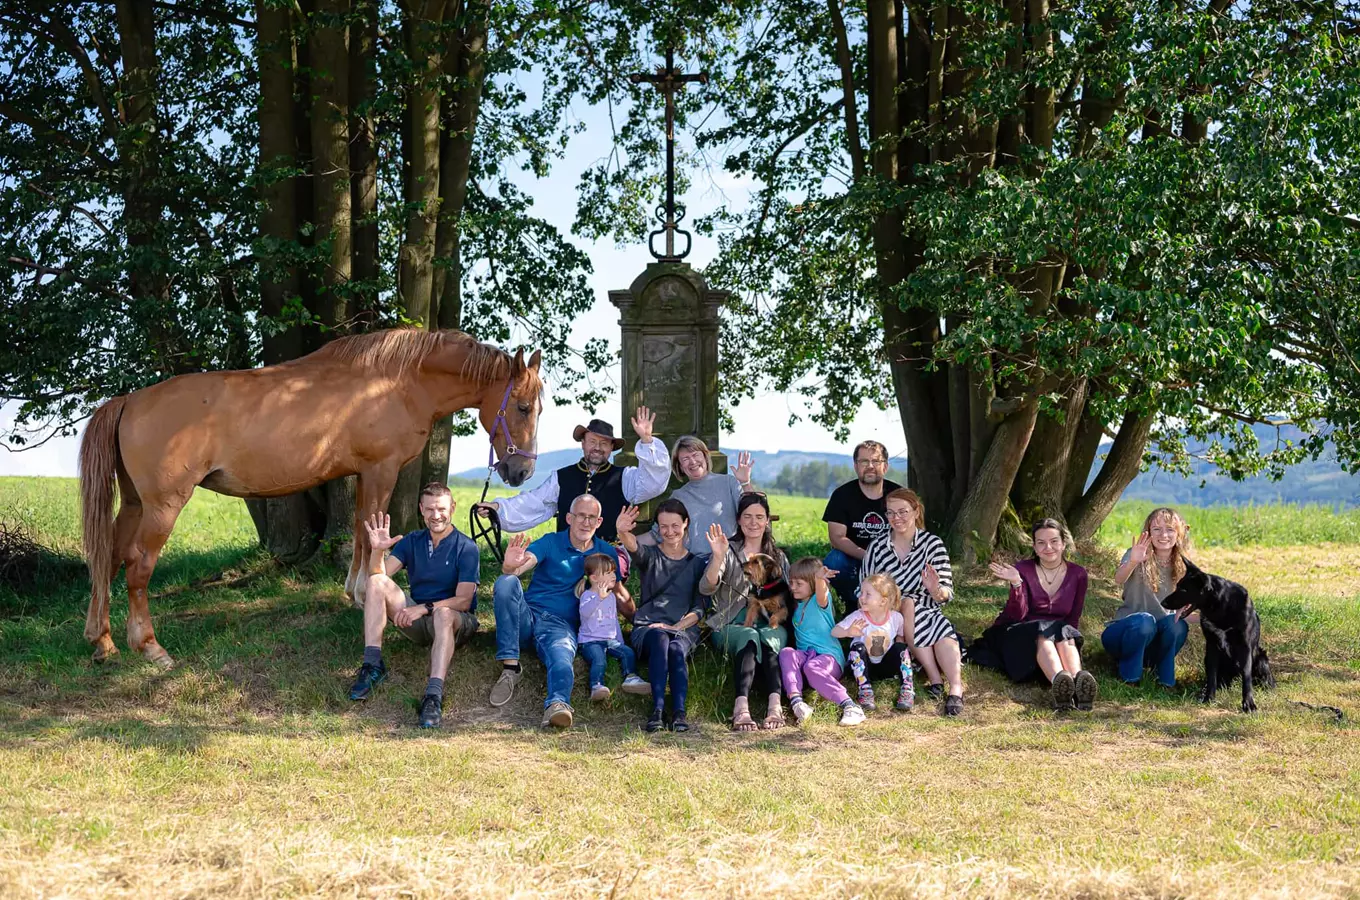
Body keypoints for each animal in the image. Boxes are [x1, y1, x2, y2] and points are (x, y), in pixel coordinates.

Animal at [79, 327, 541, 666]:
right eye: (521, 407)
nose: (521, 472)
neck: (396, 382)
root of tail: (129, 400)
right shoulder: (381, 469)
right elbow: (373, 529)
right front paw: (369, 593)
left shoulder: (362, 473)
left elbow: (360, 529)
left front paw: (355, 592)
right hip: (163, 506)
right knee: (137, 565)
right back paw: (151, 647)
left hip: (135, 504)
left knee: (109, 557)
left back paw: (102, 642)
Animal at [1164, 560, 1267, 717]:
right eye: (1177, 586)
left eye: (1183, 590)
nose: (1163, 603)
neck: (1221, 606)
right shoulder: (1212, 645)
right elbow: (1211, 675)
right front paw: (1209, 698)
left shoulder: (1245, 647)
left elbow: (1246, 677)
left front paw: (1248, 704)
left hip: (1261, 659)